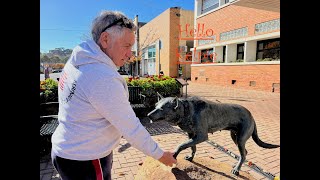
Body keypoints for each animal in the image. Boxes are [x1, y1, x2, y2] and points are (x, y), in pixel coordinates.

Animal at [148, 95, 280, 176]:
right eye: (155, 105)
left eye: (162, 108)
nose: (148, 115)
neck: (186, 110)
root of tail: (251, 115)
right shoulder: (191, 134)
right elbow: (191, 146)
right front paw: (191, 157)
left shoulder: (202, 136)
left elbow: (181, 145)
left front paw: (174, 155)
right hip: (235, 136)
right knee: (245, 153)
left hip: (241, 138)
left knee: (243, 154)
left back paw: (236, 169)